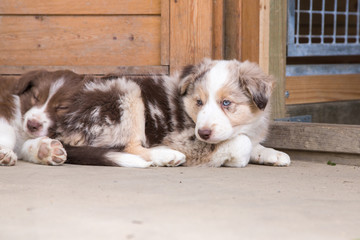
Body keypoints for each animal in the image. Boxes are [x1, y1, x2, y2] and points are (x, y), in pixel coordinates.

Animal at [57, 58, 292, 167]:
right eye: (199, 102)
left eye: (226, 103)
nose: (204, 133)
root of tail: (65, 126)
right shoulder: (184, 138)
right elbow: (242, 143)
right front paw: (233, 158)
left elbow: (252, 142)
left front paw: (274, 154)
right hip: (128, 93)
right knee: (128, 146)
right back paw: (166, 155)